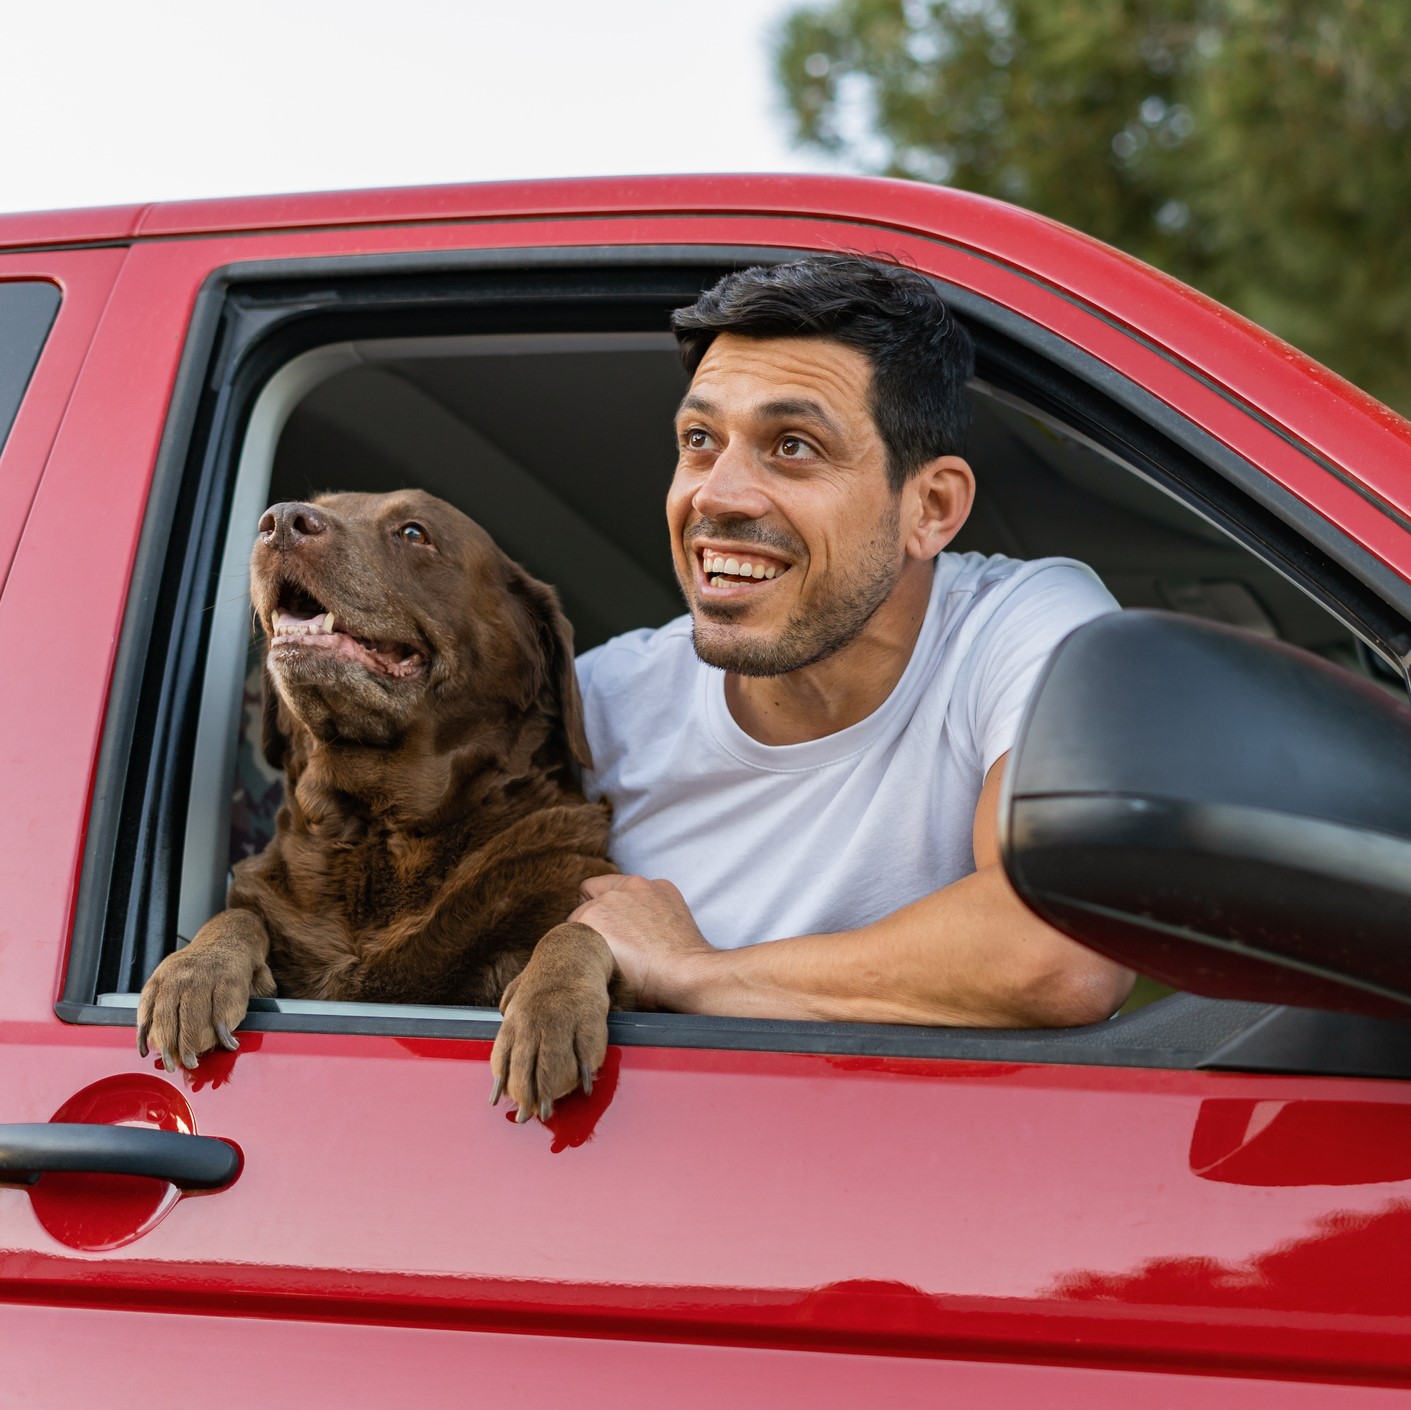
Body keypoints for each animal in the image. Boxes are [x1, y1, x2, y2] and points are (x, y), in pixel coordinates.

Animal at [136, 491, 618, 1117]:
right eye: (317, 505)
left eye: (413, 532)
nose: (280, 521)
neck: (379, 827)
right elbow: (237, 913)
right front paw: (192, 973)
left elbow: (578, 933)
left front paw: (550, 1012)